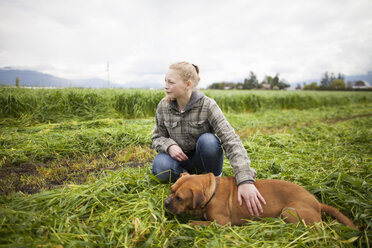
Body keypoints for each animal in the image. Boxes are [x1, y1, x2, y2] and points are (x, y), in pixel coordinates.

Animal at [163, 172, 358, 229]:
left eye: (179, 198)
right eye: (171, 190)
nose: (166, 202)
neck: (211, 190)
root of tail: (317, 202)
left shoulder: (221, 224)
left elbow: (199, 222)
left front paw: (188, 224)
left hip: (289, 212)